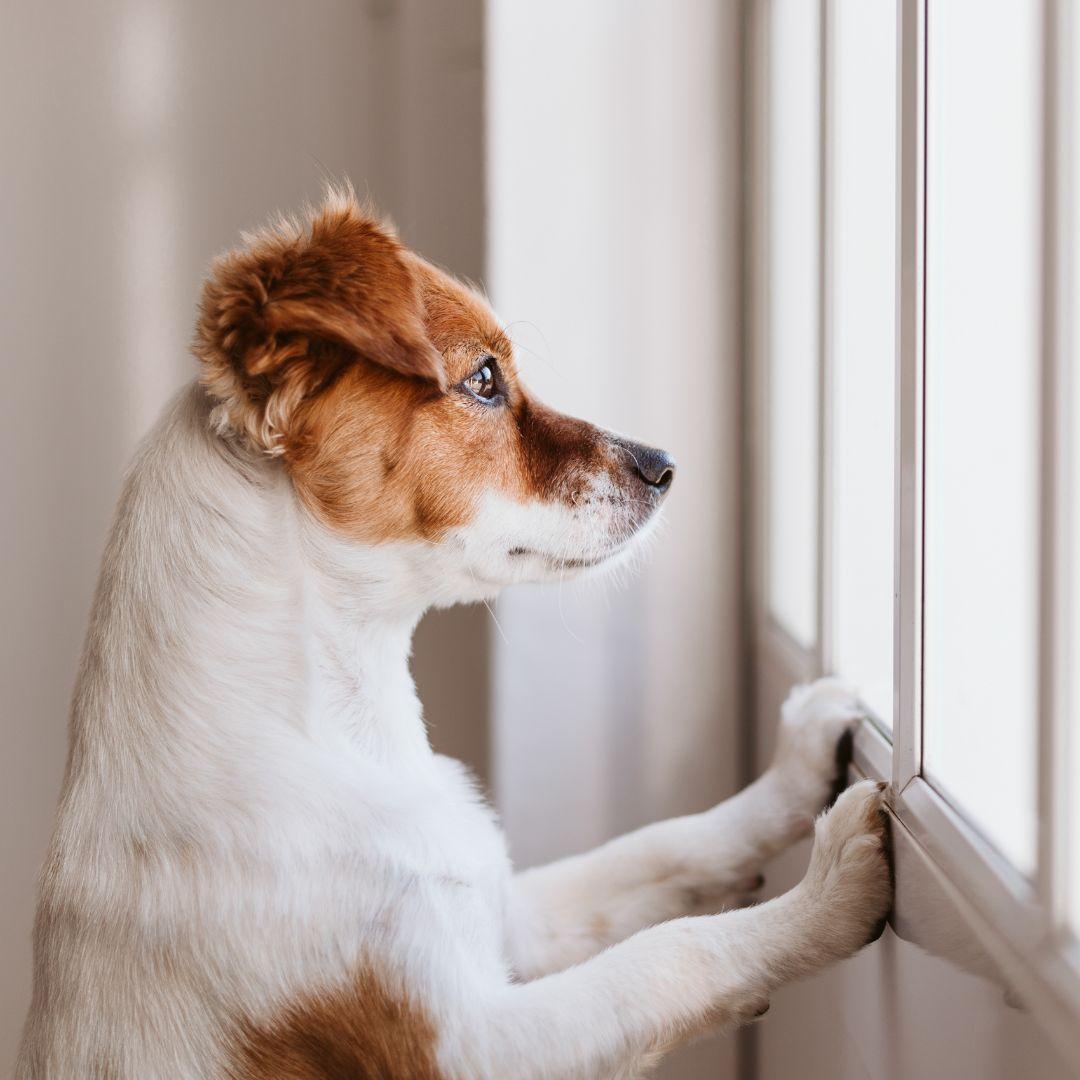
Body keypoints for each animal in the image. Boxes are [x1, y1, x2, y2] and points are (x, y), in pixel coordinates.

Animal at [16, 190, 889, 1075]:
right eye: (483, 380)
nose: (665, 465)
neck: (347, 731)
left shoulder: (507, 917)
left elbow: (665, 847)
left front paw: (796, 767)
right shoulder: (467, 1044)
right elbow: (671, 955)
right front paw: (827, 893)